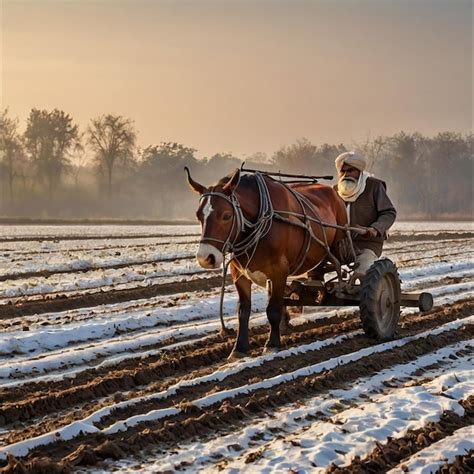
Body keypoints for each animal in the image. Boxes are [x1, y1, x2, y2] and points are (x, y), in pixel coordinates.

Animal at [186, 168, 348, 358]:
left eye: (226, 215)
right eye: (198, 216)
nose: (205, 258)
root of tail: (333, 192)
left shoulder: (279, 271)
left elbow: (273, 309)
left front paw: (272, 344)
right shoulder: (239, 273)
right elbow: (243, 311)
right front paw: (239, 348)